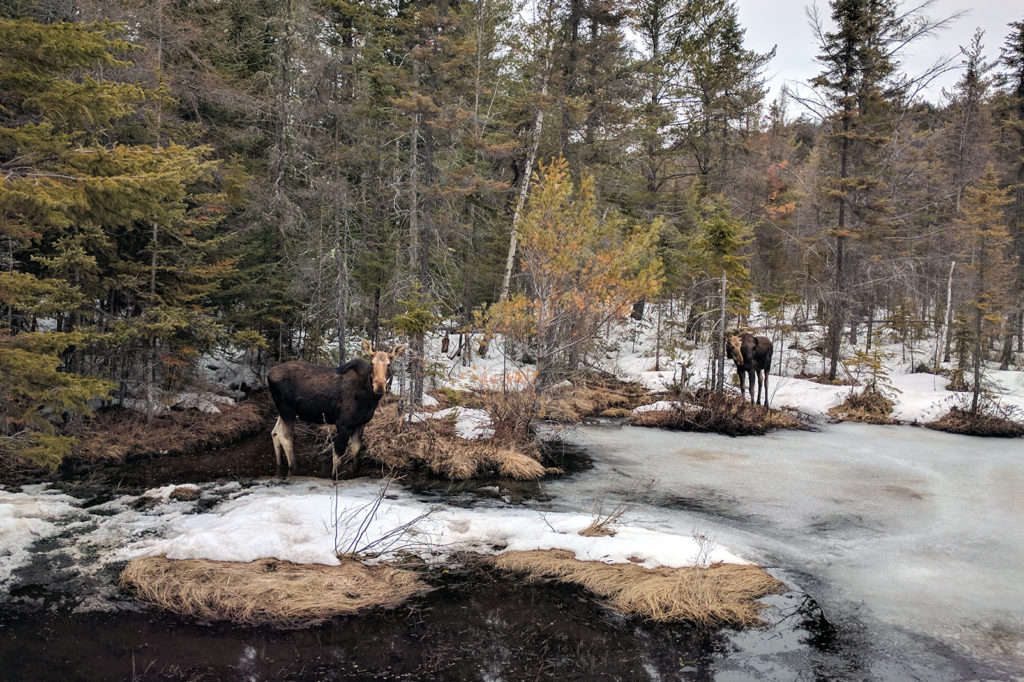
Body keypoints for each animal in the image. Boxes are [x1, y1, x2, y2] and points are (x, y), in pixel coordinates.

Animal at [266, 337, 405, 475]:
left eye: (389, 364)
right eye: (372, 363)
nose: (379, 386)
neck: (369, 399)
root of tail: (268, 375)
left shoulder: (360, 423)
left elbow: (356, 452)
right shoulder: (343, 424)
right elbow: (337, 459)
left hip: (283, 411)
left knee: (275, 432)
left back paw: (280, 464)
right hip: (287, 410)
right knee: (285, 437)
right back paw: (293, 466)